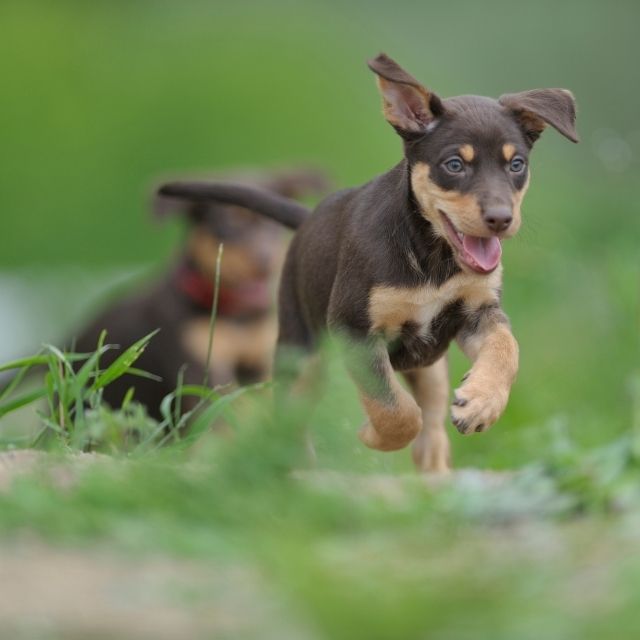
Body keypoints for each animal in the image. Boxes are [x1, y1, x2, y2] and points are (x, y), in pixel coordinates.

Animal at [158, 55, 576, 472]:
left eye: (516, 164)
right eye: (454, 164)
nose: (501, 219)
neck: (430, 258)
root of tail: (308, 219)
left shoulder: (477, 312)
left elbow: (507, 347)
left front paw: (482, 404)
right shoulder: (354, 331)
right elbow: (394, 409)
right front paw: (373, 436)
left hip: (429, 366)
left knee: (433, 418)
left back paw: (436, 466)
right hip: (300, 353)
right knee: (293, 419)